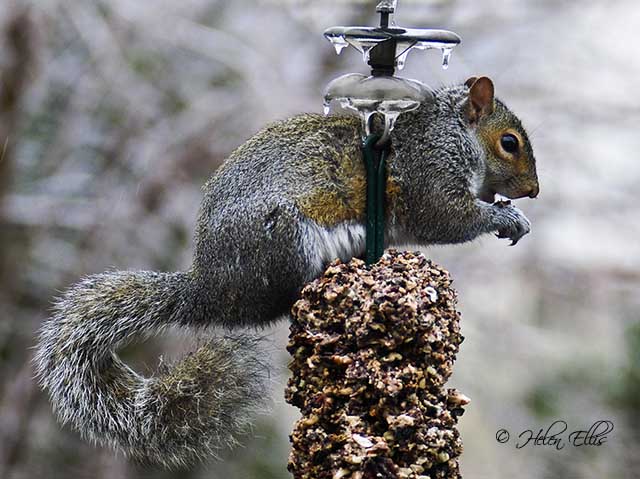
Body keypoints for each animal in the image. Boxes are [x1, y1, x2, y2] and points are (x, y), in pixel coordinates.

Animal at [34, 76, 538, 467]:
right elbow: (449, 218)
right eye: (509, 143)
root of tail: (209, 289)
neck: (448, 131)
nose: (534, 191)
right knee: (280, 302)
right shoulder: (428, 175)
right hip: (285, 240)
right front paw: (506, 218)